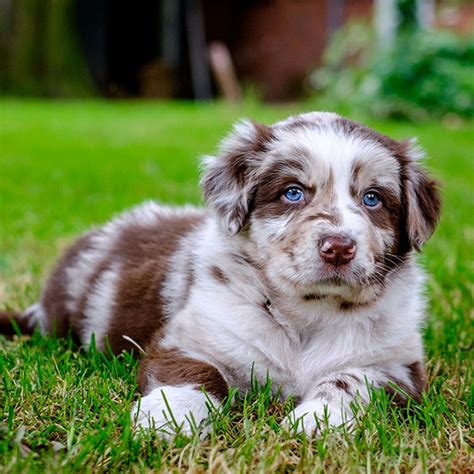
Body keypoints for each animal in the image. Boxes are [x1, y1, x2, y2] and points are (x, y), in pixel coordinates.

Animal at [1, 112, 442, 436]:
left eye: (372, 199)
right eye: (293, 192)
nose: (339, 248)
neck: (307, 313)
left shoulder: (396, 366)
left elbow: (352, 381)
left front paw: (317, 421)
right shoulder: (191, 338)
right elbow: (197, 375)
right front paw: (167, 419)